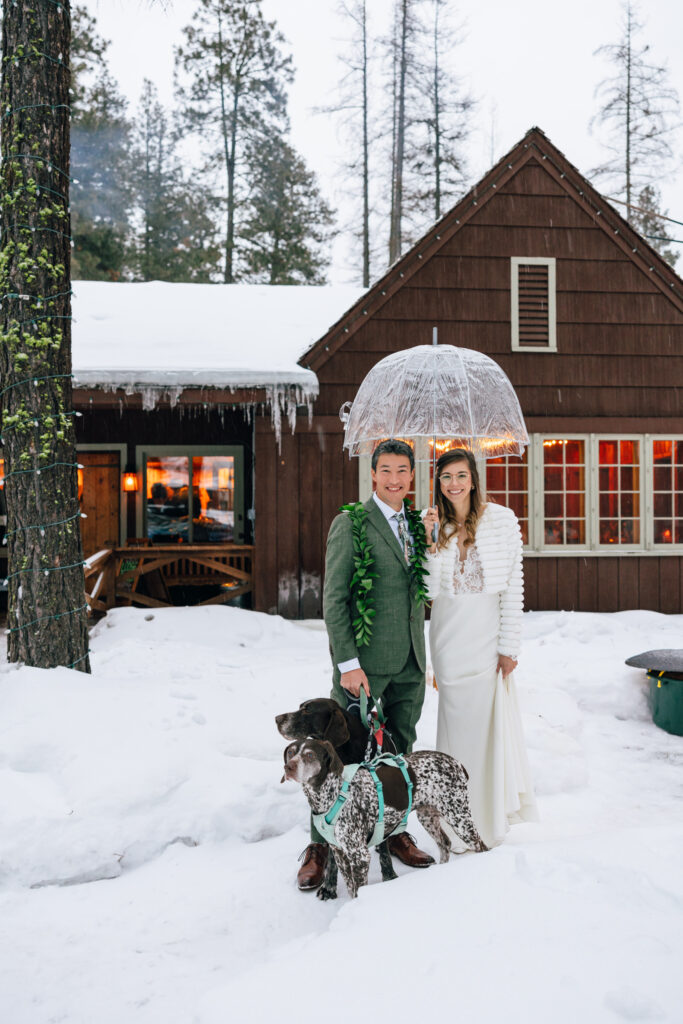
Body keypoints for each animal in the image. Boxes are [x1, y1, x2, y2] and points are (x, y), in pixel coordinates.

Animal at [282, 737, 485, 897]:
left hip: (459, 818)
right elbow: (350, 889)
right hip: (428, 816)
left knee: (480, 846)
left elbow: (358, 891)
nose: (288, 766)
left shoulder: (359, 856)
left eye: (309, 755)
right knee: (445, 843)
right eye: (291, 752)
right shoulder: (340, 854)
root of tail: (456, 762)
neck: (333, 794)